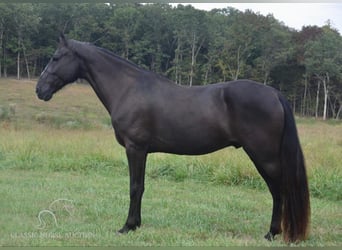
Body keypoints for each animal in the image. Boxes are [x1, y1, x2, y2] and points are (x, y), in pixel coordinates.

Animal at [35, 34, 310, 242]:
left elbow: (134, 187)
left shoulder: (135, 148)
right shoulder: (142, 151)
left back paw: (272, 233)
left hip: (264, 156)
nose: (40, 90)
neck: (128, 89)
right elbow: (141, 187)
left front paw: (127, 226)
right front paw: (136, 224)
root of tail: (274, 93)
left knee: (278, 190)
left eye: (56, 57)